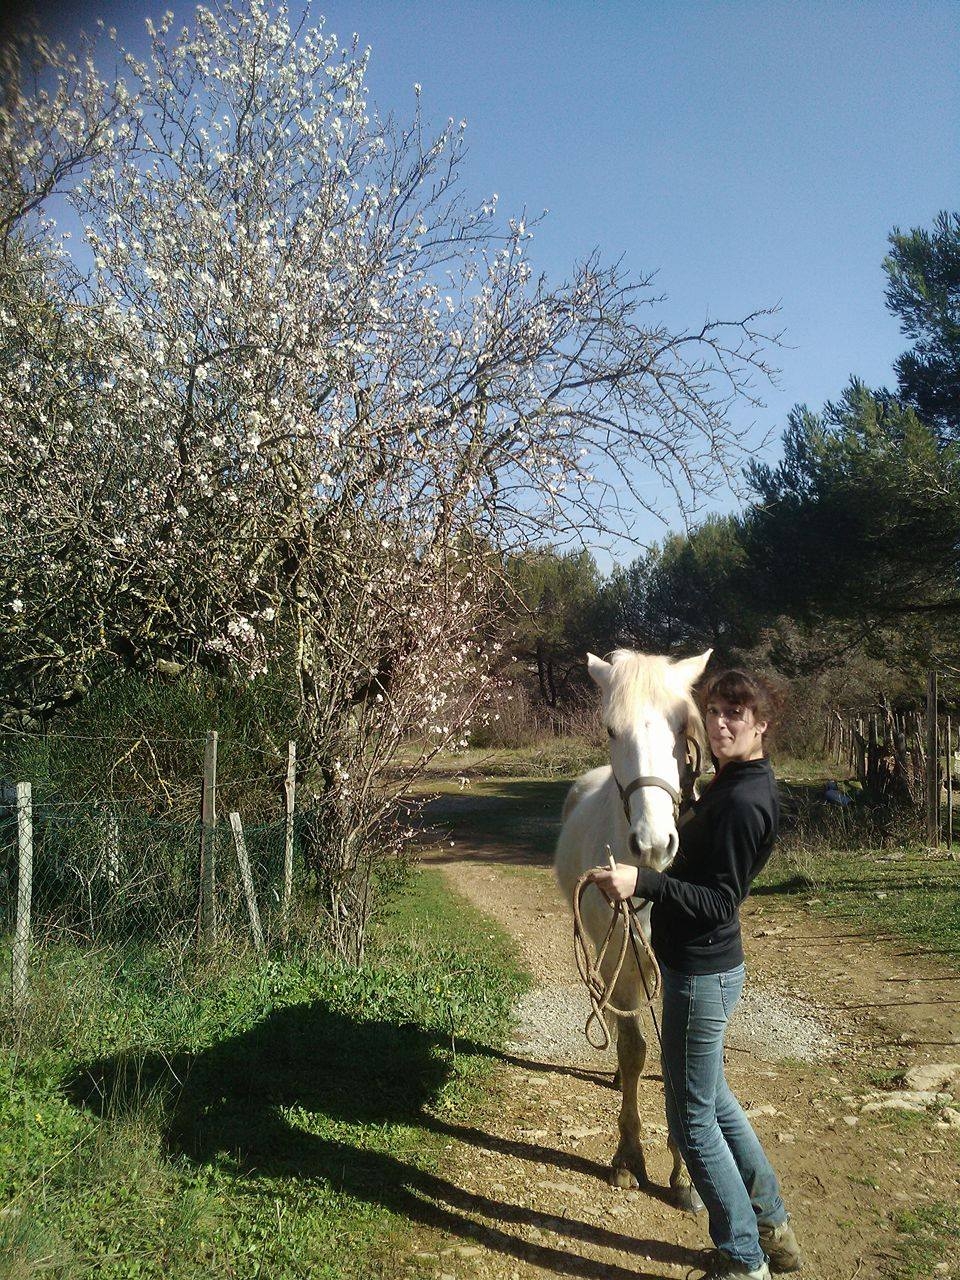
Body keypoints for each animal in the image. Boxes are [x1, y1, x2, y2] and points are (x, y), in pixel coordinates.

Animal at [554, 647, 711, 1207]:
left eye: (681, 729)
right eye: (611, 729)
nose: (654, 844)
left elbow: (676, 1058)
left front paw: (685, 1174)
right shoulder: (625, 960)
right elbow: (636, 1047)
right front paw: (628, 1158)